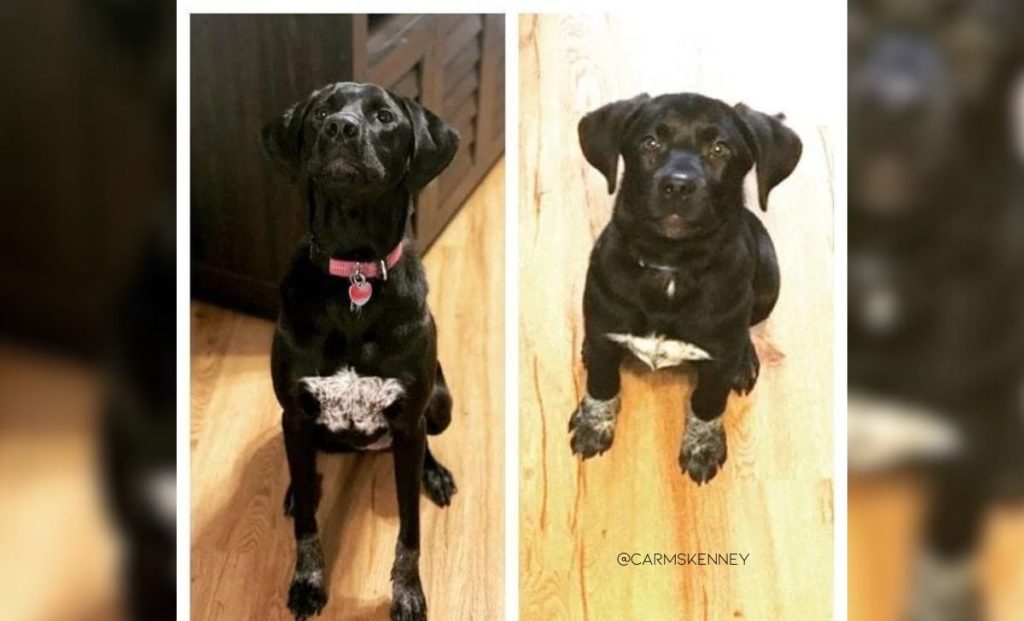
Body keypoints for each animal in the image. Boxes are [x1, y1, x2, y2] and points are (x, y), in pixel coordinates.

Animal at [262, 83, 458, 621]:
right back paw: (297, 489)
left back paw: (435, 474)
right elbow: (307, 525)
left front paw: (407, 592)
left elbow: (410, 530)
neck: (354, 270)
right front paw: (308, 580)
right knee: (305, 468)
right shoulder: (296, 413)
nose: (340, 128)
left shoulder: (409, 419)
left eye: (385, 117)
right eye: (322, 111)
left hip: (439, 405)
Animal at [577, 93, 798, 487]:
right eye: (650, 142)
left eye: (720, 148)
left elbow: (708, 404)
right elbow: (602, 384)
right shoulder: (605, 327)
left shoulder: (717, 363)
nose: (678, 186)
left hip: (769, 283)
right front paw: (594, 423)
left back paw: (744, 359)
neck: (671, 265)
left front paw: (702, 447)